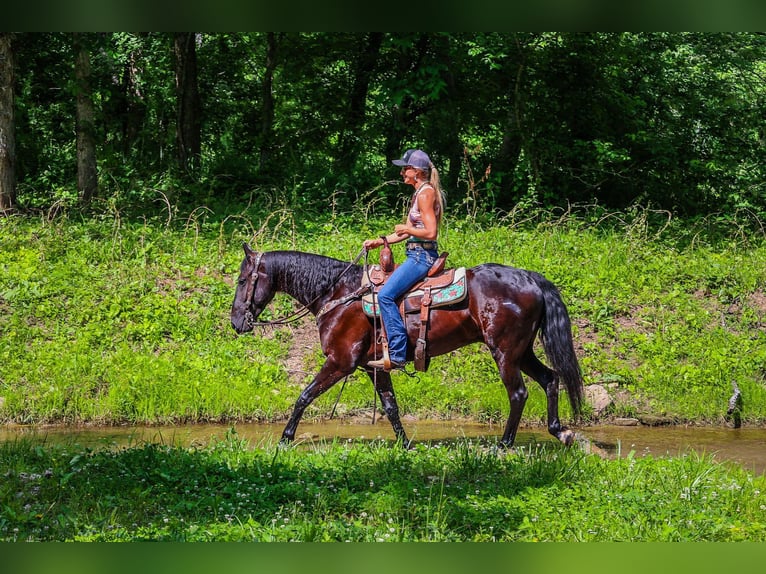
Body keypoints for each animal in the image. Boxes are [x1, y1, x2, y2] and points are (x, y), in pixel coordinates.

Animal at [231, 245, 584, 452]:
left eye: (242, 279)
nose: (236, 322)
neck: (338, 293)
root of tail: (531, 278)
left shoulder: (340, 361)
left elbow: (304, 396)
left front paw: (285, 438)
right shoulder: (372, 366)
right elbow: (390, 406)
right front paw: (405, 445)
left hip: (505, 352)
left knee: (519, 393)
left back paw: (505, 444)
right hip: (522, 352)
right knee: (550, 379)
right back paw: (560, 432)